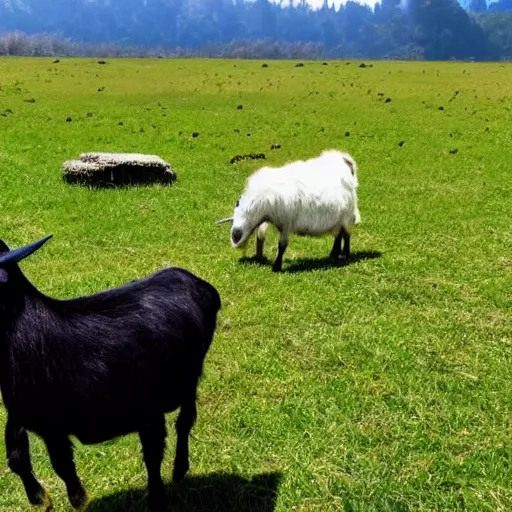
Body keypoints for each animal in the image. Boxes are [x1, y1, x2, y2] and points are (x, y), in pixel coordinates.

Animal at [0, 234, 221, 510]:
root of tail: (194, 280)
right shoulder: (21, 414)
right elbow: (17, 457)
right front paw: (40, 498)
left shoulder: (56, 425)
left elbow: (63, 464)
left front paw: (79, 498)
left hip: (187, 382)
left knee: (181, 424)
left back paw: (177, 471)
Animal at [216, 149, 360, 272]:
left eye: (236, 234)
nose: (236, 244)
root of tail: (344, 160)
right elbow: (260, 236)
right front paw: (259, 257)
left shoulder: (285, 223)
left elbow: (282, 245)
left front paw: (276, 266)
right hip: (338, 218)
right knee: (339, 234)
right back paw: (334, 254)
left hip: (346, 215)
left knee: (346, 234)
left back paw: (345, 255)